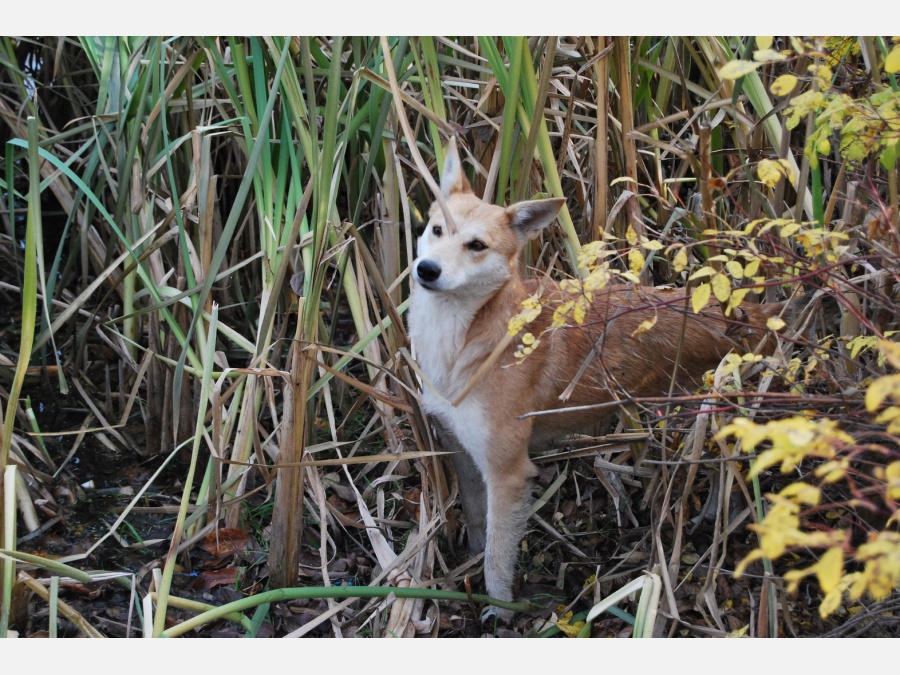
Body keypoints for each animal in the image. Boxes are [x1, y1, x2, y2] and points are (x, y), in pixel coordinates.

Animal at [408, 140, 780, 620]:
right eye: (436, 230)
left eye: (476, 245)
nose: (427, 269)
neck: (463, 342)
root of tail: (757, 313)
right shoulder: (458, 446)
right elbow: (477, 523)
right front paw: (469, 566)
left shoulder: (508, 472)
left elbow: (498, 557)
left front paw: (500, 612)